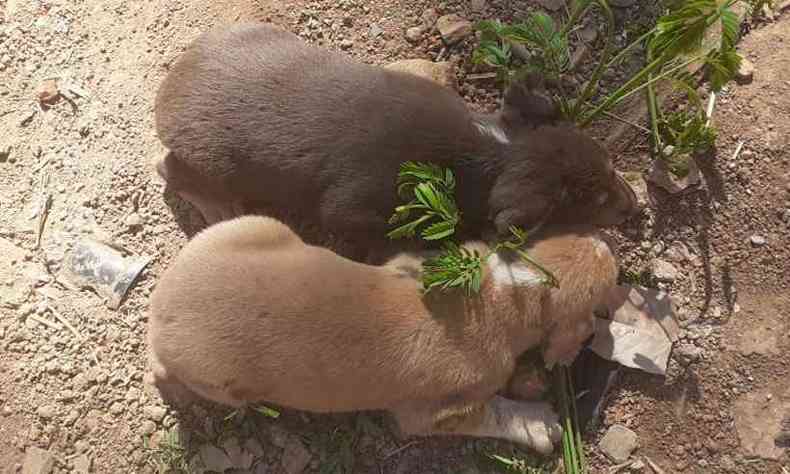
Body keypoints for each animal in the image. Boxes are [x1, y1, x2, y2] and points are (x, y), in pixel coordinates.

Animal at [147, 217, 620, 454]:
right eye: (601, 298)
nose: (607, 243)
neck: (502, 294)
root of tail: (158, 307)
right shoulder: (432, 413)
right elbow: (492, 413)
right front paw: (538, 422)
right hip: (222, 384)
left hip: (254, 226)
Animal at [153, 23, 636, 262]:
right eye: (588, 202)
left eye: (611, 164)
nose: (635, 207)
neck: (490, 153)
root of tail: (165, 95)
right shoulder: (351, 206)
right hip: (216, 164)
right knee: (170, 170)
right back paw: (221, 208)